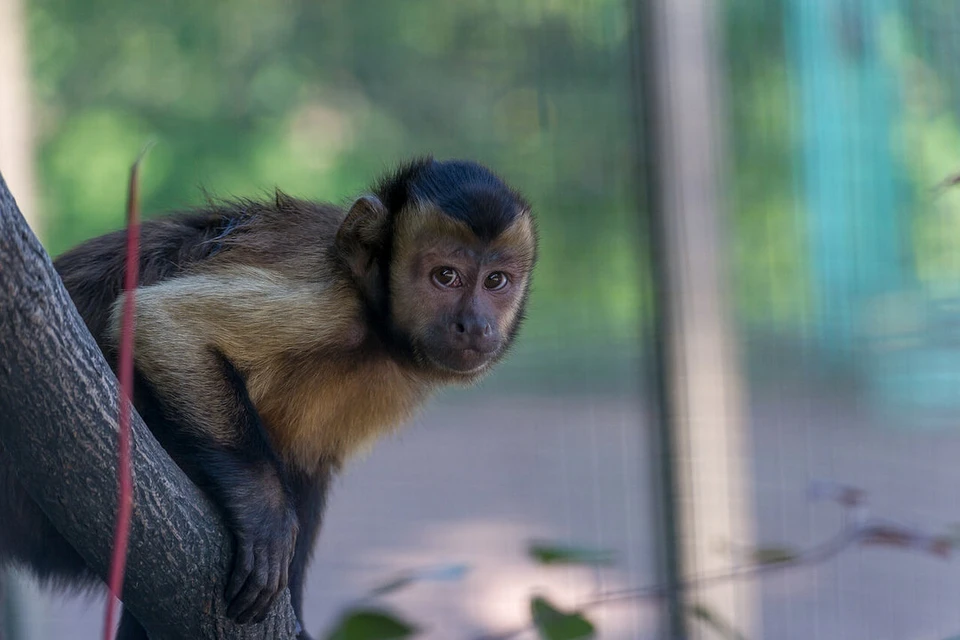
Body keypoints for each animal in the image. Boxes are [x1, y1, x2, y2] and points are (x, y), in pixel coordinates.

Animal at [0, 156, 536, 640]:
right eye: (445, 276)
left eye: (495, 282)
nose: (476, 325)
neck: (375, 326)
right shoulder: (327, 298)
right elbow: (162, 322)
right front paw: (263, 510)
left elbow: (310, 468)